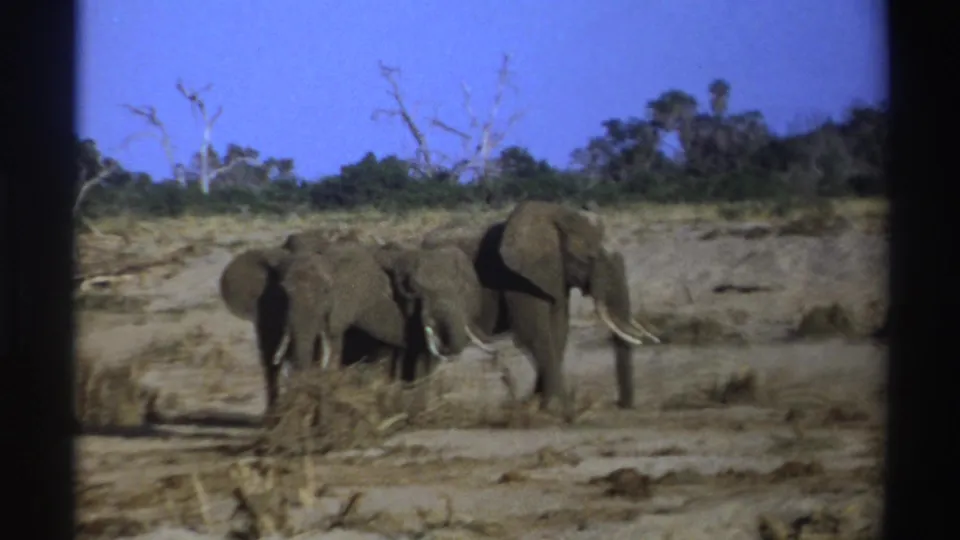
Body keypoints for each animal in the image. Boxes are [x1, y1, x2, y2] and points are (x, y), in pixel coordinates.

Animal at [421, 200, 659, 415]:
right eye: (587, 259)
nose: (621, 405)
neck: (556, 215)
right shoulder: (518, 276)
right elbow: (533, 332)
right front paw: (555, 408)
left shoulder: (554, 276)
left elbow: (558, 330)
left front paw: (537, 404)